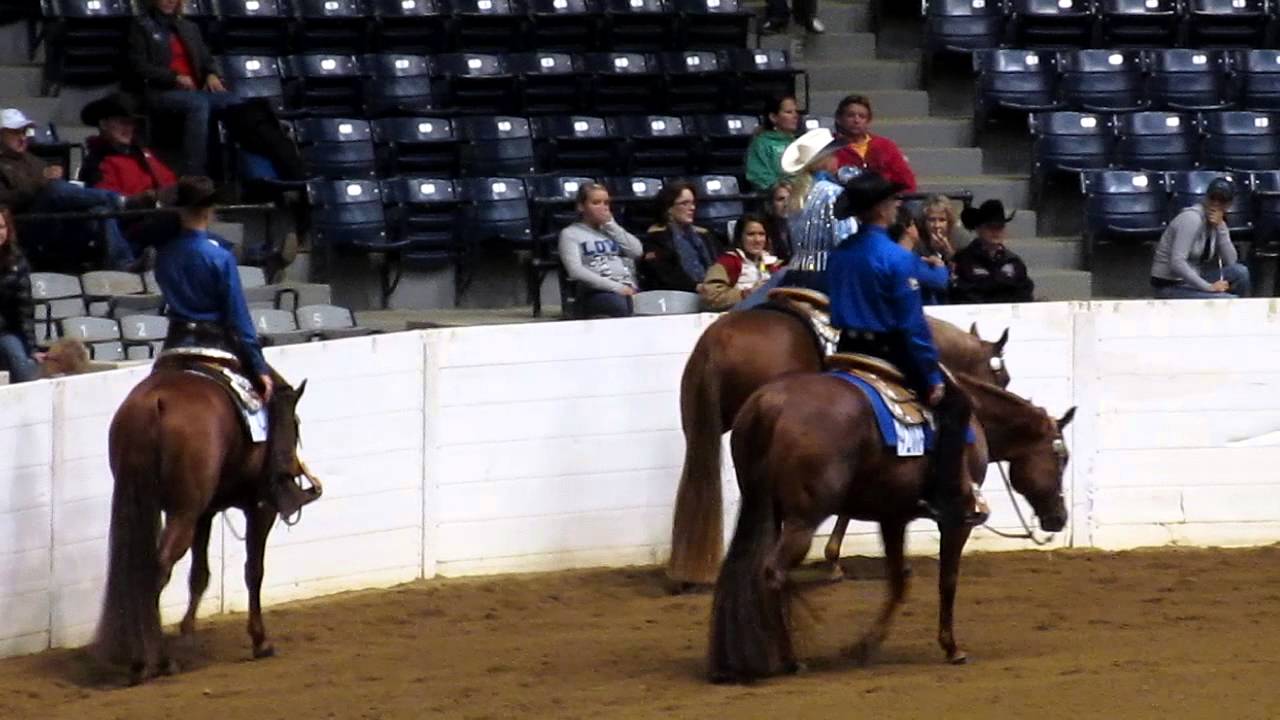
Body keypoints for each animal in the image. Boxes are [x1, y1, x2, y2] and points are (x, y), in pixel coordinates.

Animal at [94, 366, 309, 681]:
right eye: (295, 424)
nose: (294, 470)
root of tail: (153, 403)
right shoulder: (261, 509)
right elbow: (254, 571)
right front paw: (261, 641)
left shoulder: (205, 513)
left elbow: (199, 575)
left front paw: (187, 632)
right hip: (183, 513)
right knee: (157, 569)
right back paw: (159, 660)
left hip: (146, 501)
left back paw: (139, 658)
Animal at [711, 371, 1070, 681]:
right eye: (1061, 457)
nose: (1060, 518)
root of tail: (770, 403)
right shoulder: (956, 522)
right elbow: (948, 581)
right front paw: (952, 647)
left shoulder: (893, 517)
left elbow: (898, 581)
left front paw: (864, 646)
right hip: (802, 520)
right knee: (773, 572)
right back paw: (789, 659)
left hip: (763, 507)